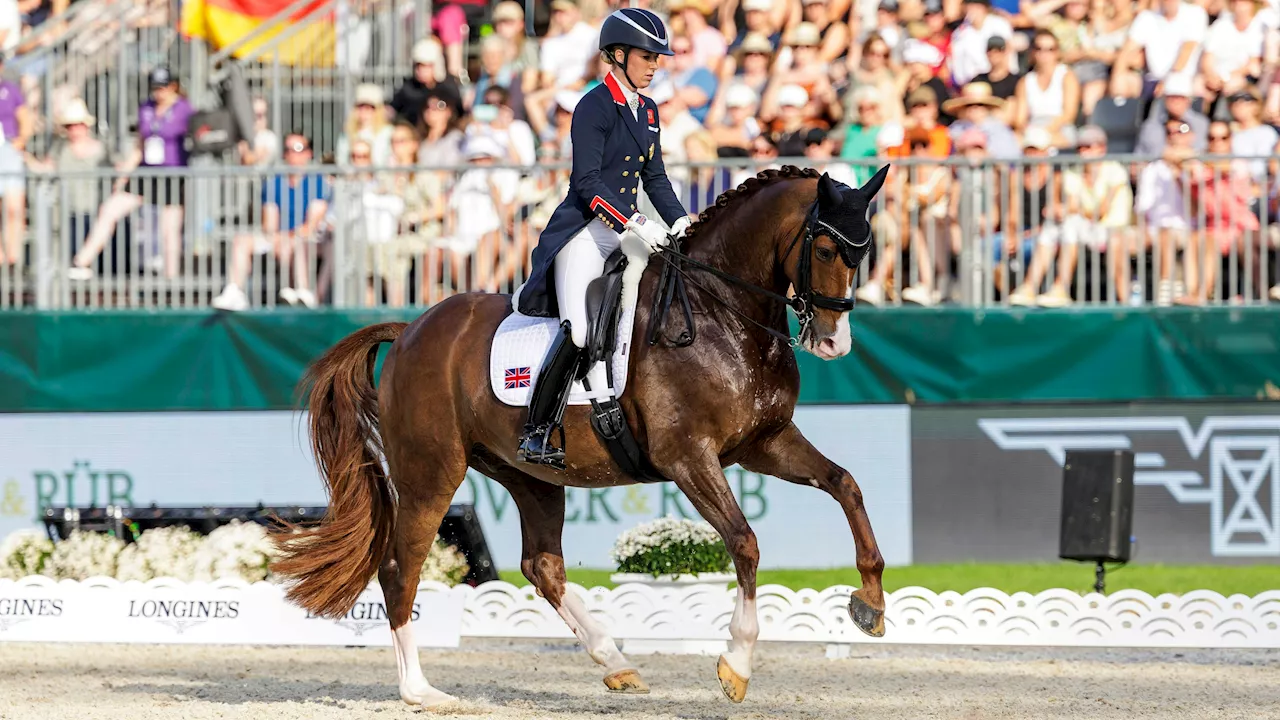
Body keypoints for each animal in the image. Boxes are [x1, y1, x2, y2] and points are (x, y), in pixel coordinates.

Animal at [272, 165, 890, 702]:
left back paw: (615, 662)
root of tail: (409, 331)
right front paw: (736, 663)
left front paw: (869, 604)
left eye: (864, 252)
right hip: (431, 473)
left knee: (542, 567)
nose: (834, 343)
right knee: (402, 569)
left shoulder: (764, 443)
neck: (723, 316)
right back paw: (421, 691)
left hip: (530, 473)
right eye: (826, 250)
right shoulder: (688, 456)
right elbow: (744, 540)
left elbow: (846, 484)